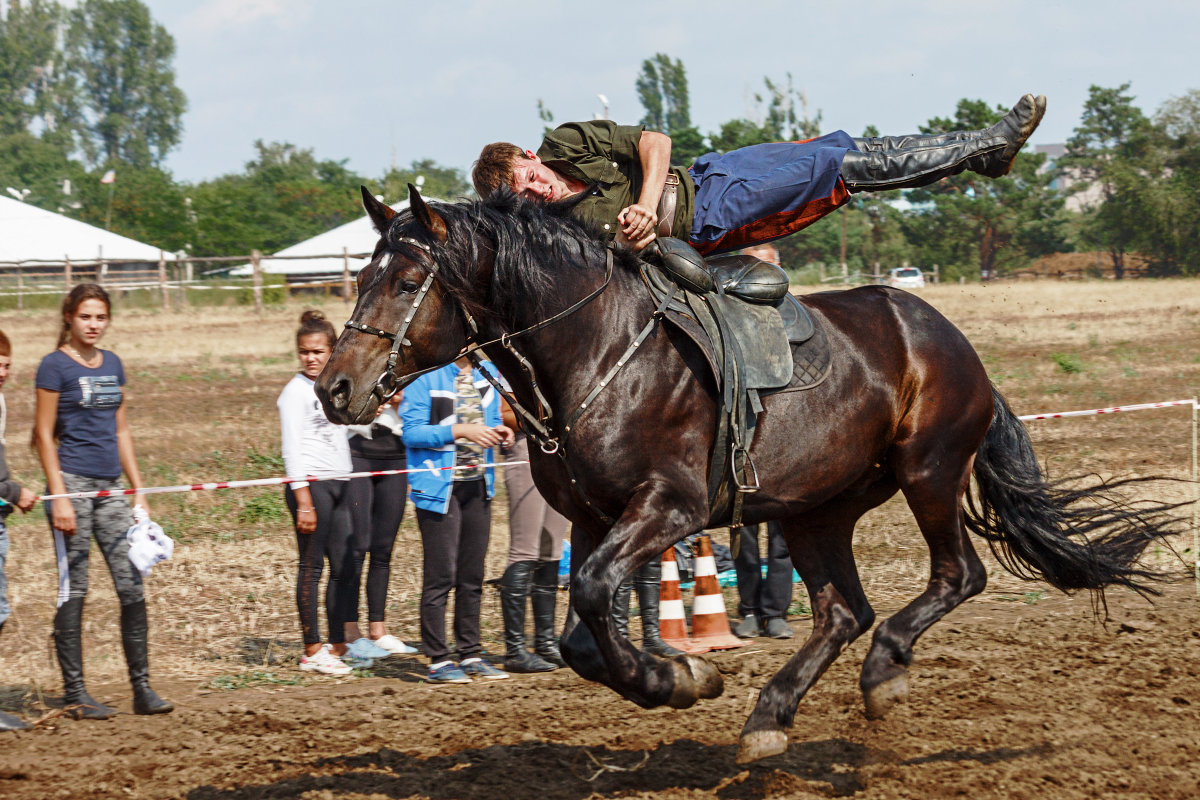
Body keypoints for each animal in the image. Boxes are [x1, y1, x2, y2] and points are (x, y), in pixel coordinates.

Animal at [314, 185, 1176, 762]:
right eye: (357, 278)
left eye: (403, 282)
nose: (335, 389)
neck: (595, 351)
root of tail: (955, 342)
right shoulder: (594, 519)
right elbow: (577, 632)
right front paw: (682, 673)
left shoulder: (669, 508)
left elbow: (591, 595)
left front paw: (677, 676)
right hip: (817, 506)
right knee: (843, 612)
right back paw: (770, 716)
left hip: (928, 469)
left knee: (955, 577)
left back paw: (883, 674)